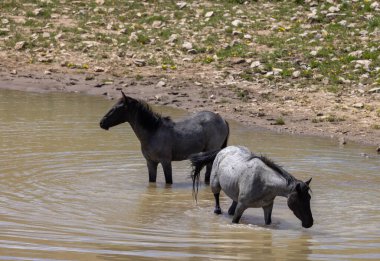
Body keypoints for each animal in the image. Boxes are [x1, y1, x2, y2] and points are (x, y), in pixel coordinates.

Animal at [100, 91, 229, 183]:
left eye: (116, 108)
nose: (101, 123)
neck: (152, 132)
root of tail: (222, 119)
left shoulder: (166, 162)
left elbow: (169, 181)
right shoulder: (150, 163)